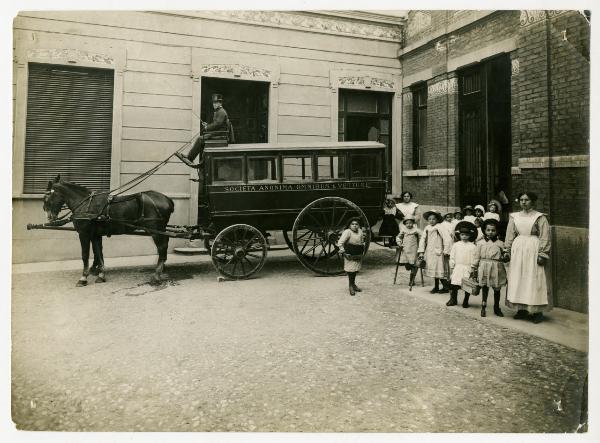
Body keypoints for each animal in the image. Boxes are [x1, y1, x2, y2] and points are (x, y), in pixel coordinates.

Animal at [43, 175, 175, 286]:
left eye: (46, 197)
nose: (49, 216)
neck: (86, 204)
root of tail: (167, 199)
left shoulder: (84, 234)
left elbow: (85, 255)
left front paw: (83, 277)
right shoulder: (95, 235)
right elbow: (98, 253)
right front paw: (101, 275)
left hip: (156, 230)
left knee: (162, 248)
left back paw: (156, 275)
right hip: (160, 230)